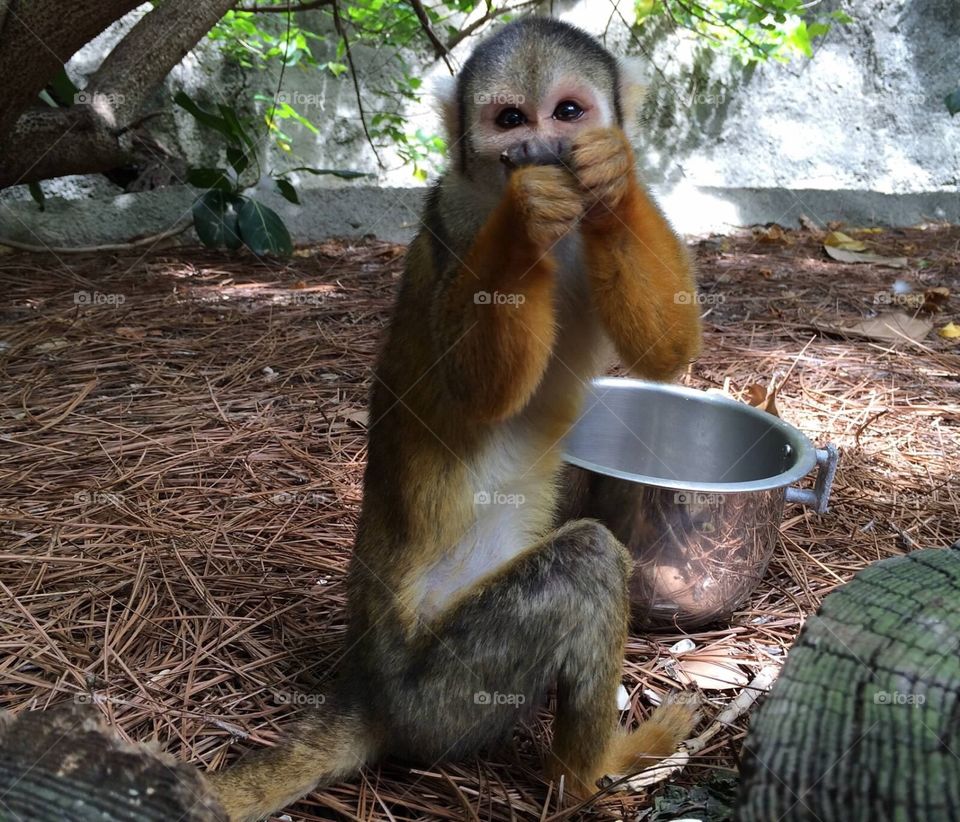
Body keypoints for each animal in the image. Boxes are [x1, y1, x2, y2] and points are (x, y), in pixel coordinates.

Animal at [208, 17, 703, 821]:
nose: (538, 148)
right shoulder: (448, 222)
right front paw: (528, 209)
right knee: (587, 561)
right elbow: (477, 391)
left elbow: (666, 349)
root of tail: (368, 693)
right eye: (510, 120)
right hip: (444, 693)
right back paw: (590, 773)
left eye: (568, 113)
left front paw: (610, 176)